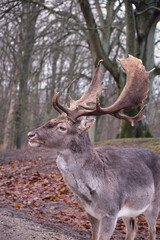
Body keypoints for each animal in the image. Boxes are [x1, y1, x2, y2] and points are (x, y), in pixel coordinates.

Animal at [27, 54, 160, 240]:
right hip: (129, 212)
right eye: (51, 119)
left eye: (62, 127)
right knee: (133, 228)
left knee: (152, 231)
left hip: (154, 203)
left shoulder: (110, 213)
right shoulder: (91, 213)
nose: (30, 135)